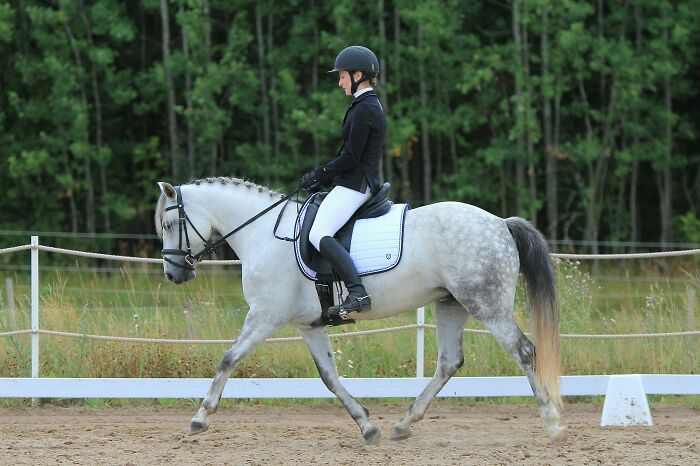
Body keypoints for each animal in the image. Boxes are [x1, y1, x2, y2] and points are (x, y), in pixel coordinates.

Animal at [154, 177, 567, 444]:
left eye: (171, 223)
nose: (174, 273)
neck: (263, 235)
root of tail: (500, 223)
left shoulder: (264, 317)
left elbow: (228, 358)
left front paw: (199, 418)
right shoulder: (309, 325)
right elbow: (329, 377)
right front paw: (367, 426)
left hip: (486, 304)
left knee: (524, 351)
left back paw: (553, 424)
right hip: (451, 303)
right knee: (450, 362)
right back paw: (404, 424)